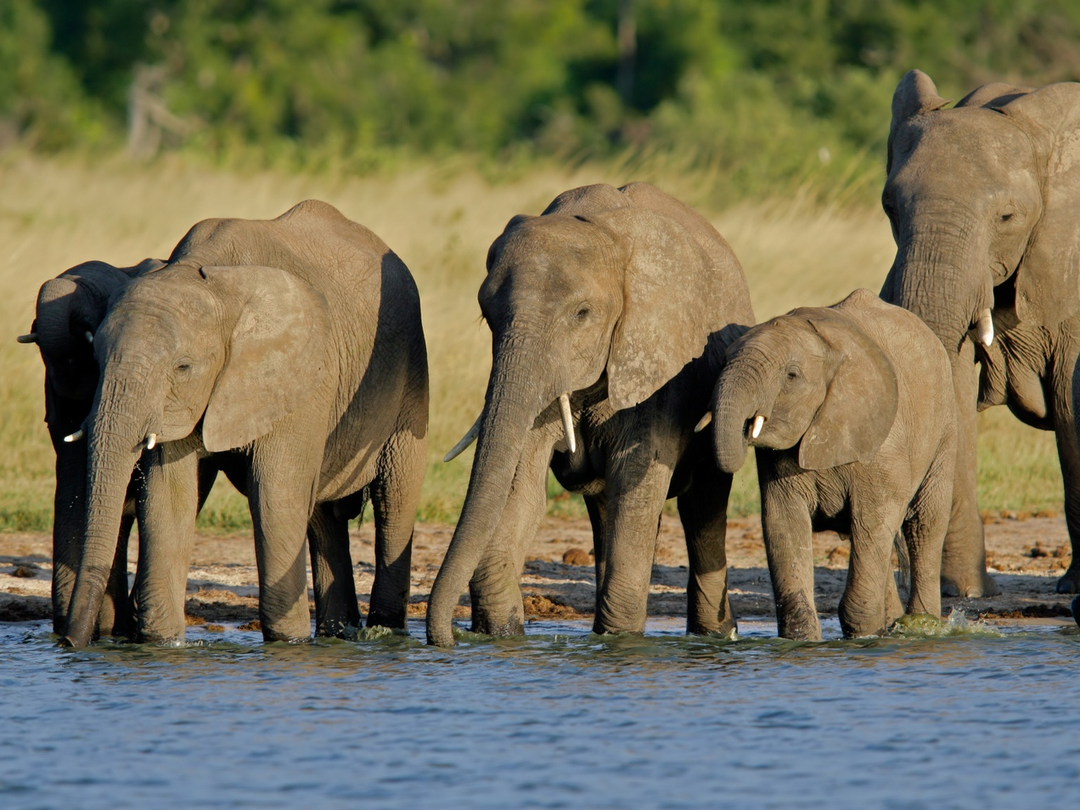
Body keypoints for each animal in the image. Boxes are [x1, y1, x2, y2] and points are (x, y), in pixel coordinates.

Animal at [60, 199, 428, 647]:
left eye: (183, 367)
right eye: (94, 360)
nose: (70, 644)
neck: (212, 279)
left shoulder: (300, 377)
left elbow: (275, 493)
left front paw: (287, 644)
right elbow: (169, 497)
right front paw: (164, 645)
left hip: (409, 376)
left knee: (394, 499)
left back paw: (386, 633)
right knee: (323, 516)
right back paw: (337, 635)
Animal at [426, 181, 755, 647]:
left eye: (582, 314)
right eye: (487, 315)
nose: (448, 640)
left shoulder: (659, 362)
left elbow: (637, 487)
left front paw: (621, 641)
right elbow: (522, 487)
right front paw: (503, 634)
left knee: (703, 506)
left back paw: (714, 635)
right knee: (605, 511)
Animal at [702, 289, 955, 640]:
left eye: (791, 376)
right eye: (723, 362)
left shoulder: (882, 441)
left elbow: (873, 519)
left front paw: (863, 635)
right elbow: (783, 522)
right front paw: (802, 639)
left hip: (944, 425)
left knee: (924, 524)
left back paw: (923, 626)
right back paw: (894, 623)